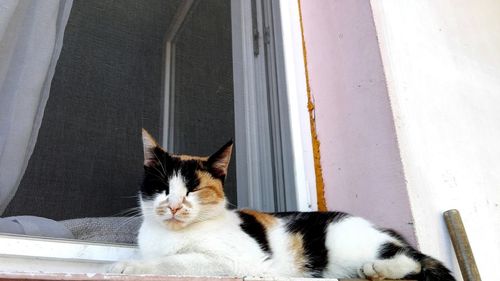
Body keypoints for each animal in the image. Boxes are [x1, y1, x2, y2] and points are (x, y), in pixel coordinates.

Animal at [109, 129, 458, 280]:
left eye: (193, 188)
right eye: (162, 187)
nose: (174, 206)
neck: (170, 236)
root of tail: (381, 228)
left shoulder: (233, 259)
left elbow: (174, 262)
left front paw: (128, 267)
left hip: (351, 242)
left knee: (417, 259)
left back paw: (378, 268)